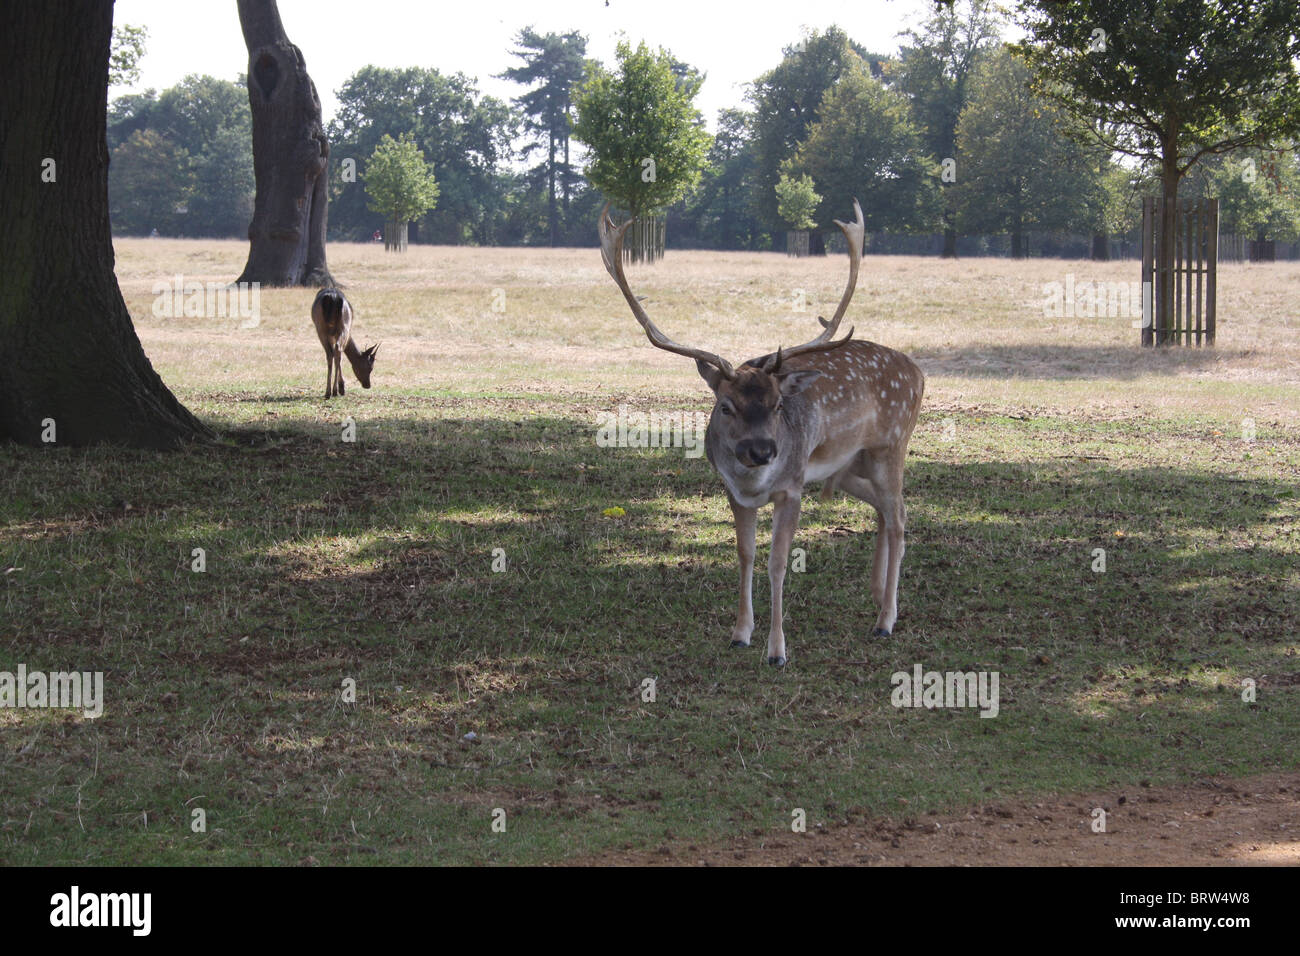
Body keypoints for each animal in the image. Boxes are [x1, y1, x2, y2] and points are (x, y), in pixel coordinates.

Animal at [599, 200, 924, 667]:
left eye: (777, 405)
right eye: (725, 405)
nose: (763, 451)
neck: (756, 483)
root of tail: (918, 372)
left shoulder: (792, 487)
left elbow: (777, 562)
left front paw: (777, 650)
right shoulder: (734, 492)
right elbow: (745, 555)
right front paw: (740, 633)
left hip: (891, 444)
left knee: (898, 516)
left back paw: (886, 620)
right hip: (847, 465)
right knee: (885, 508)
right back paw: (878, 596)